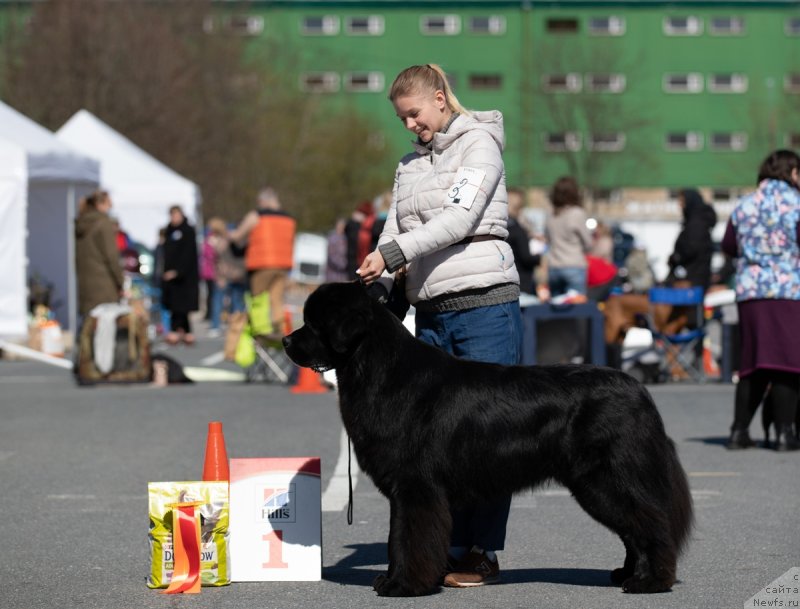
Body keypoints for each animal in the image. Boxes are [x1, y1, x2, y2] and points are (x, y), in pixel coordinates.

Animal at [282, 282, 692, 596]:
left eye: (314, 323)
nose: (285, 341)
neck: (379, 369)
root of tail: (639, 389)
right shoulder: (410, 490)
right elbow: (401, 538)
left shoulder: (416, 488)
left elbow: (405, 538)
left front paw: (402, 585)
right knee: (634, 528)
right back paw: (627, 574)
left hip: (607, 479)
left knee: (650, 524)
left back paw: (650, 581)